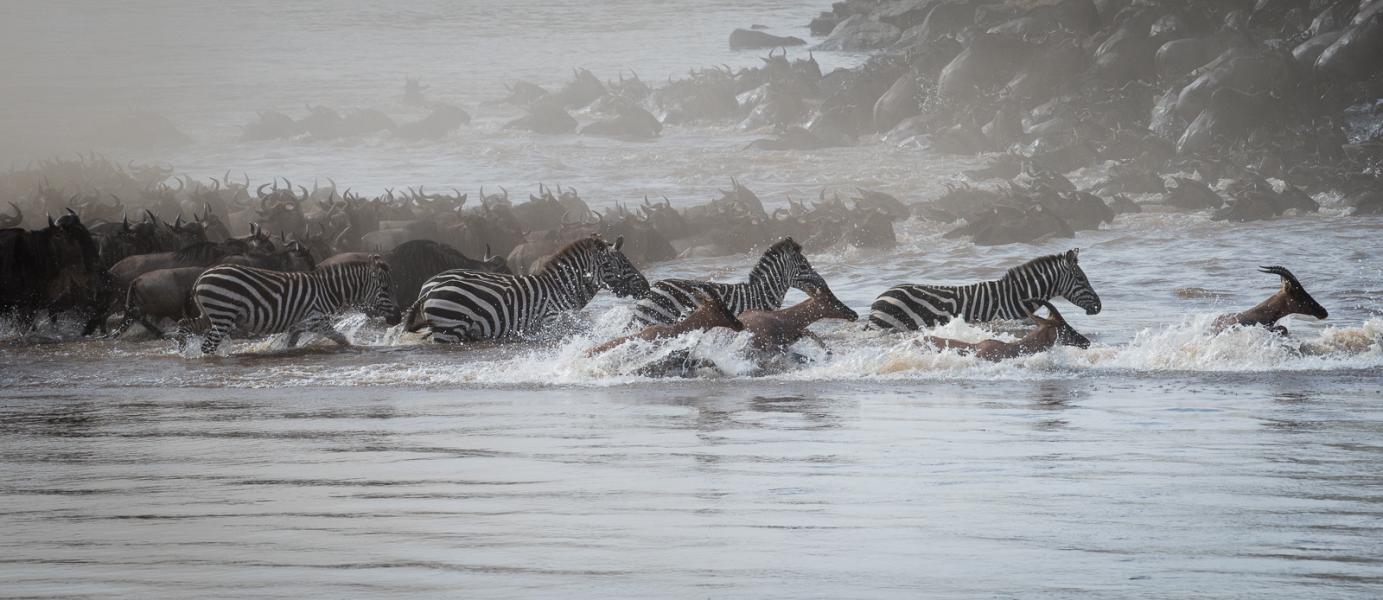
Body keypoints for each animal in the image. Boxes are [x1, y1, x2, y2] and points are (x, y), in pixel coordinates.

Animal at [188, 255, 401, 353]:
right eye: (384, 289)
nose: (398, 318)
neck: (329, 290)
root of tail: (200, 278)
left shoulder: (297, 326)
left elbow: (289, 345)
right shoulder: (317, 321)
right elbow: (342, 339)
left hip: (210, 314)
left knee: (186, 325)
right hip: (223, 314)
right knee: (208, 346)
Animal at [403, 236, 647, 344]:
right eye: (623, 263)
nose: (646, 286)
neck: (561, 289)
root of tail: (430, 289)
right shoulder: (552, 323)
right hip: (449, 329)